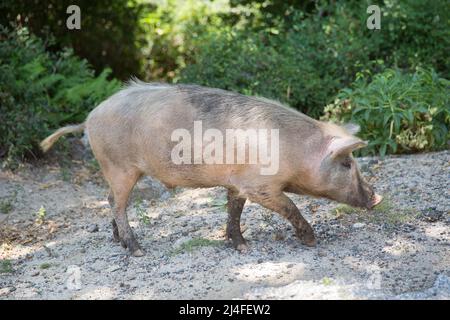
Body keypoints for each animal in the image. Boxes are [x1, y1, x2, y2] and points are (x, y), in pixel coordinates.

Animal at [41, 81, 380, 256]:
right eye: (347, 163)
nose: (378, 197)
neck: (295, 151)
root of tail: (89, 119)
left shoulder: (237, 182)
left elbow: (234, 210)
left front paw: (241, 245)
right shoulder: (260, 186)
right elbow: (290, 207)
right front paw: (311, 241)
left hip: (117, 171)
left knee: (111, 201)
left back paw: (117, 241)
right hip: (119, 166)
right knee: (118, 203)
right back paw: (136, 250)